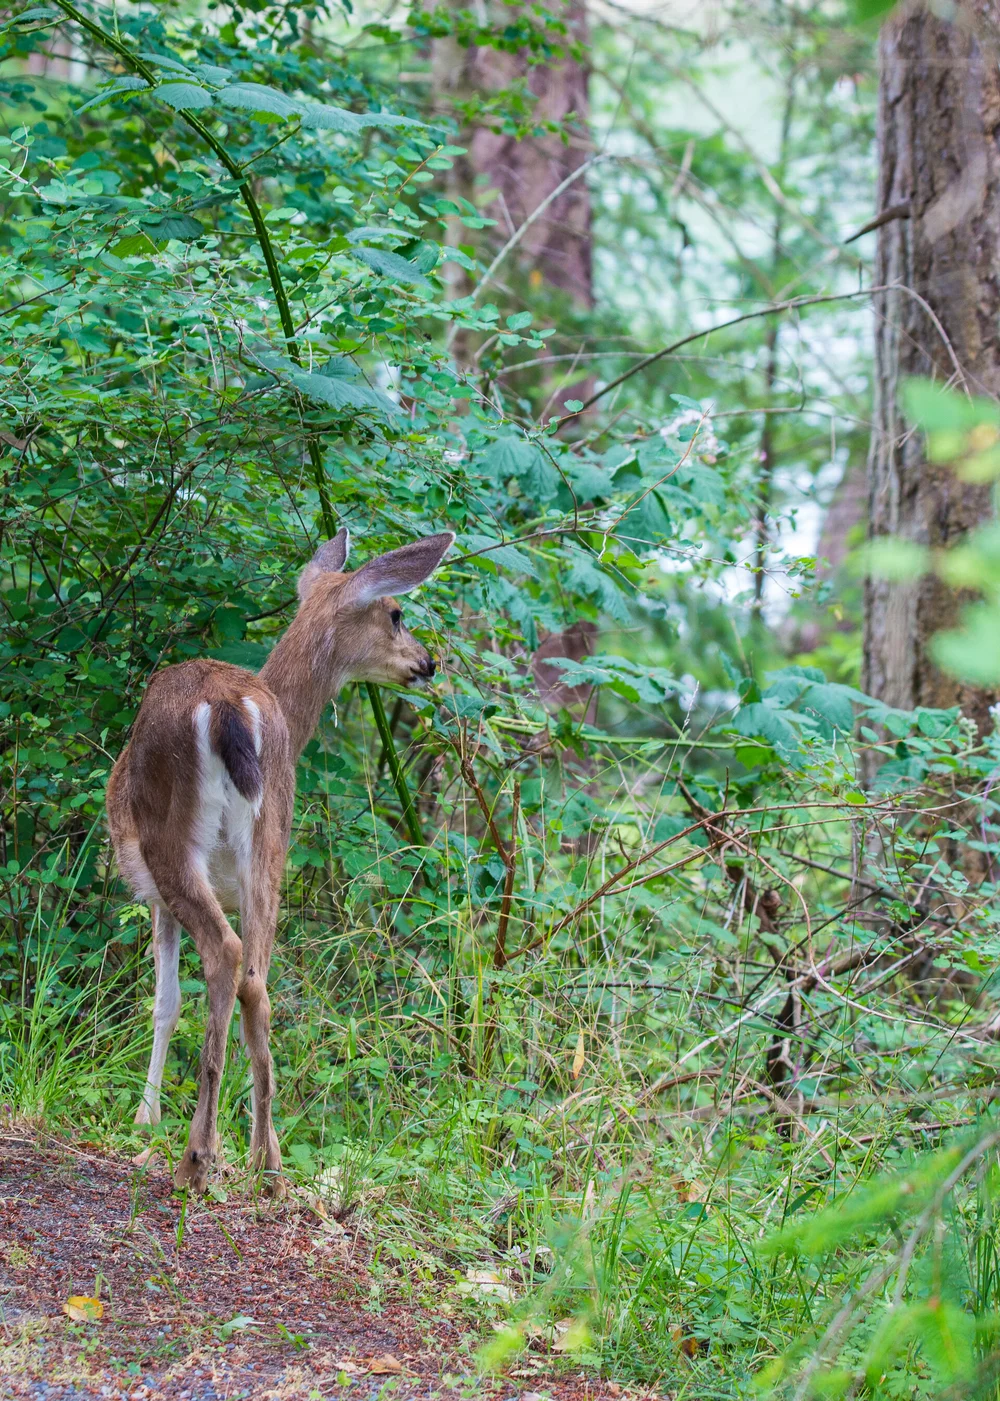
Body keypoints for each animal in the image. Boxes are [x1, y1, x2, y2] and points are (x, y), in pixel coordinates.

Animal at [105, 526, 450, 1193]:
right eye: (397, 613)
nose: (428, 663)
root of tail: (230, 707)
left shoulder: (152, 894)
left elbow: (165, 1003)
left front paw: (144, 1119)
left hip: (171, 841)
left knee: (226, 956)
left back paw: (197, 1158)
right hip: (271, 840)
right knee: (256, 981)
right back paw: (267, 1161)